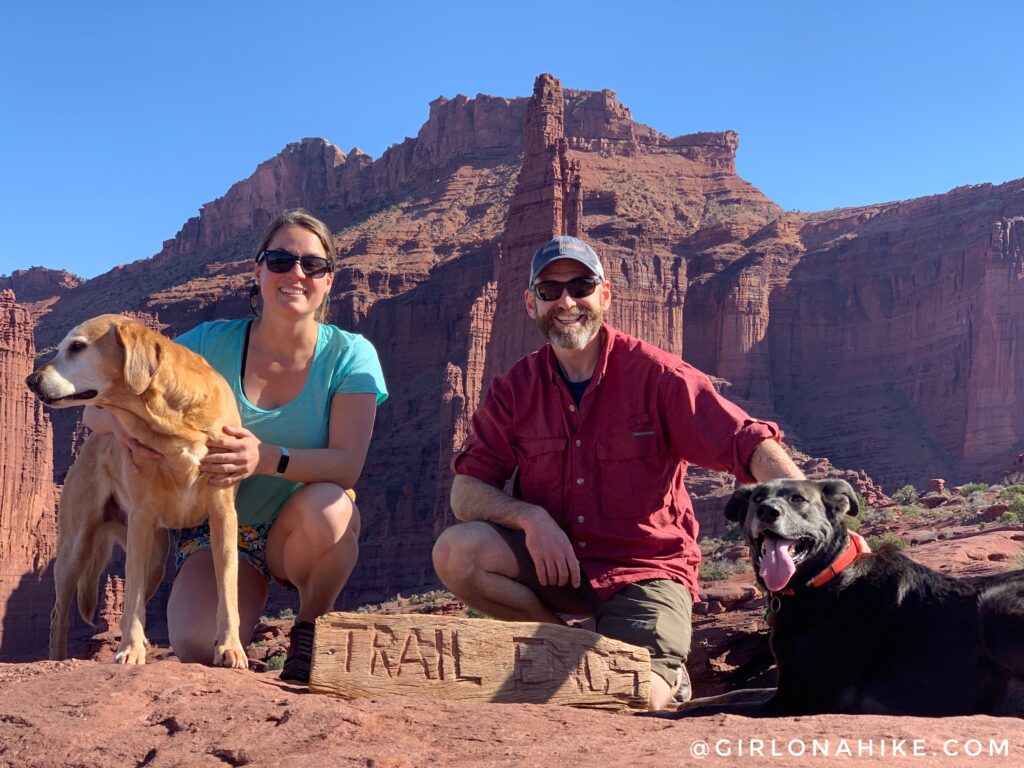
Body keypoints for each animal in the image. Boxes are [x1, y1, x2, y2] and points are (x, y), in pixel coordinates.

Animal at [655, 479, 1024, 720]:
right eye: (757, 497)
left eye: (798, 499)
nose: (768, 511)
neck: (825, 581)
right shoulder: (786, 685)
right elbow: (729, 694)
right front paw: (685, 701)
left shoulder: (799, 697)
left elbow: (708, 708)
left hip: (996, 604)